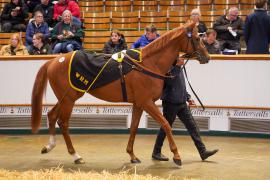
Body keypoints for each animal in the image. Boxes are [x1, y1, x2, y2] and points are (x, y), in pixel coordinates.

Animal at [31, 21, 209, 167]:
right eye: (197, 38)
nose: (207, 57)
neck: (148, 64)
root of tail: (54, 61)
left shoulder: (139, 104)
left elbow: (134, 127)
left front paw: (132, 155)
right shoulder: (147, 102)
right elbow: (165, 124)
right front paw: (177, 156)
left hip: (65, 98)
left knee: (52, 115)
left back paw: (49, 146)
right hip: (69, 99)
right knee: (63, 123)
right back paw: (76, 155)